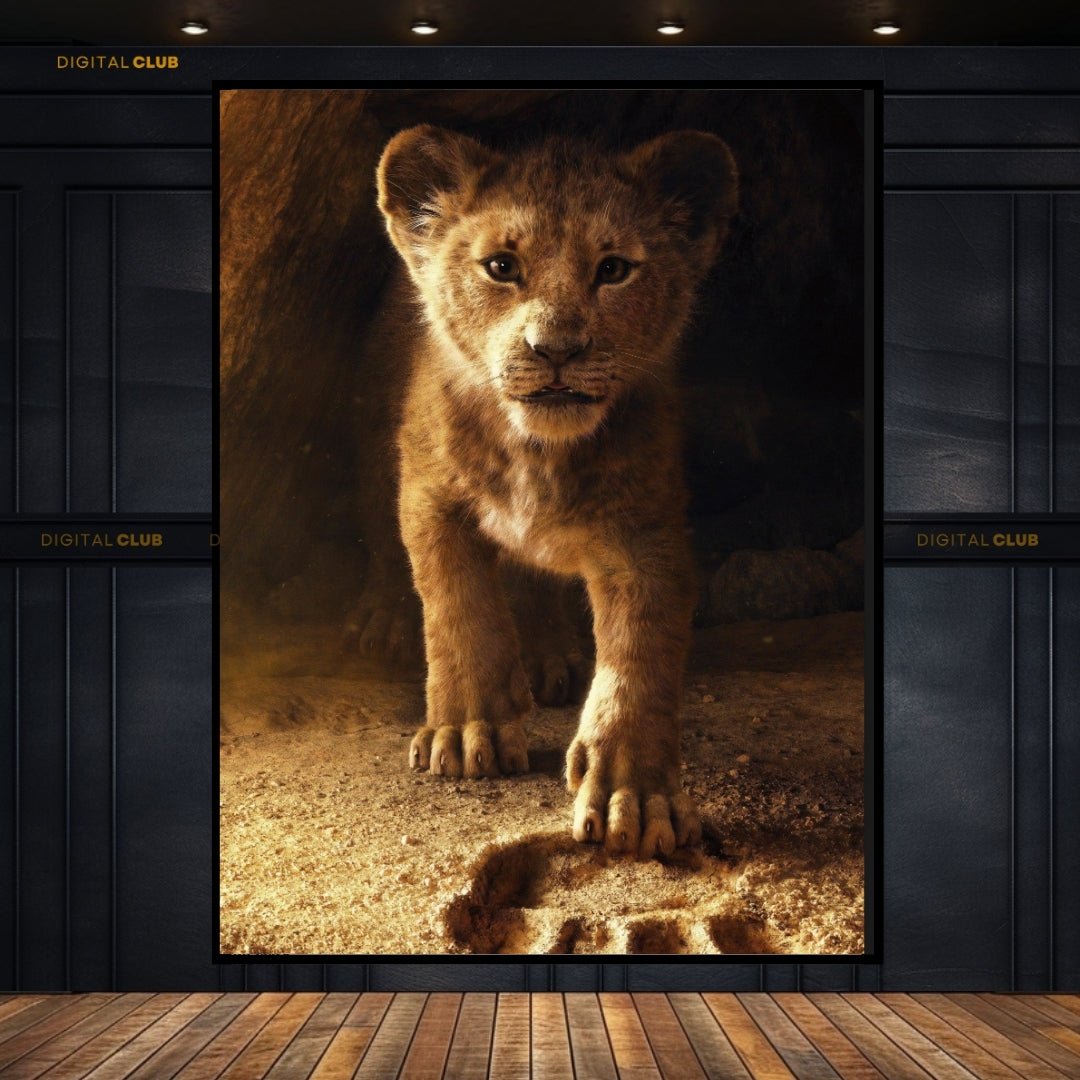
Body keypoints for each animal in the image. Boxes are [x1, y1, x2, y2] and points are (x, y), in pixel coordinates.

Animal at [376, 124, 738, 859]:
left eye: (614, 269)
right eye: (501, 266)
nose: (557, 349)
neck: (536, 451)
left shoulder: (644, 534)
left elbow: (639, 657)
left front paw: (637, 796)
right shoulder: (430, 497)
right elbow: (460, 610)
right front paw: (468, 730)